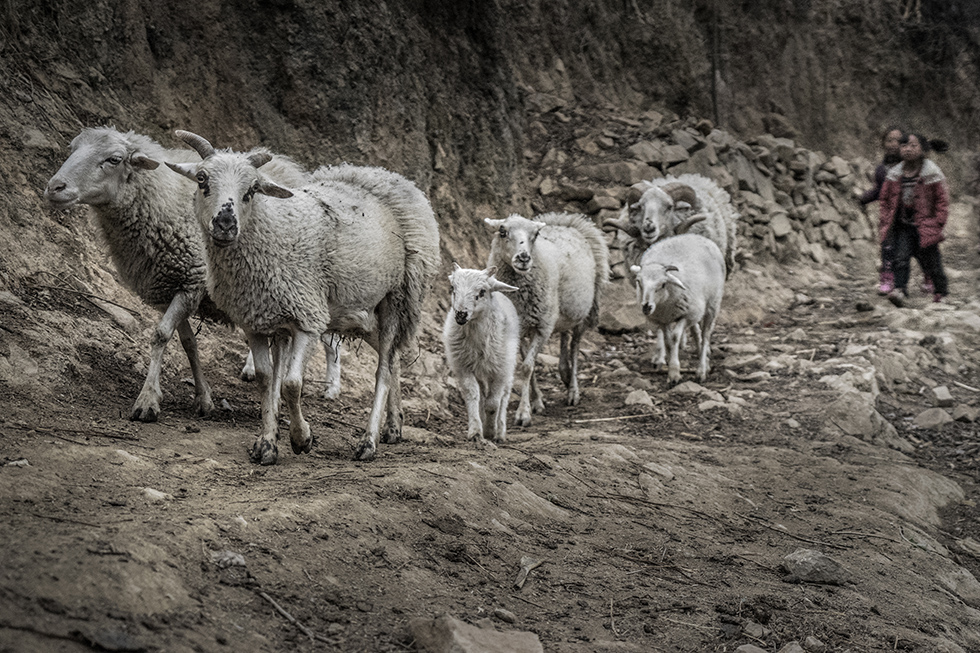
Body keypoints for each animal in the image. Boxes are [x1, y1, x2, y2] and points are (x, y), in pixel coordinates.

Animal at [168, 129, 440, 464]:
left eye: (252, 189)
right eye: (202, 178)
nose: (225, 223)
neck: (270, 230)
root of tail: (386, 176)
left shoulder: (308, 319)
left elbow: (291, 384)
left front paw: (301, 438)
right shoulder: (255, 319)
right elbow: (266, 379)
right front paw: (267, 444)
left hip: (397, 297)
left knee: (383, 370)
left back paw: (368, 441)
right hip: (362, 310)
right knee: (394, 362)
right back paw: (394, 426)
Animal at [442, 262, 520, 446]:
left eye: (482, 291)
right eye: (453, 288)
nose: (460, 314)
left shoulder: (500, 370)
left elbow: (493, 403)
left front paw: (491, 431)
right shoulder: (463, 366)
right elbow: (473, 395)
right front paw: (476, 431)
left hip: (506, 366)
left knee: (504, 397)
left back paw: (500, 430)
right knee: (483, 395)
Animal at [486, 211, 608, 426]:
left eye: (535, 235)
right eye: (502, 231)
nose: (524, 257)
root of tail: (566, 221)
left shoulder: (542, 327)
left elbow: (527, 367)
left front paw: (523, 413)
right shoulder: (519, 327)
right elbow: (530, 366)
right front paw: (537, 401)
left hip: (581, 313)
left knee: (575, 346)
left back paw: (573, 390)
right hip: (562, 312)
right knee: (564, 336)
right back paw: (564, 372)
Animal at [632, 232, 724, 382]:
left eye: (663, 284)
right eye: (638, 282)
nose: (646, 307)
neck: (664, 304)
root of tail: (695, 235)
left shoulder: (686, 315)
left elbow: (675, 338)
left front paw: (675, 372)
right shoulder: (662, 319)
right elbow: (668, 342)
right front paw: (671, 368)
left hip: (712, 304)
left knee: (705, 335)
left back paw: (702, 369)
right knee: (696, 332)